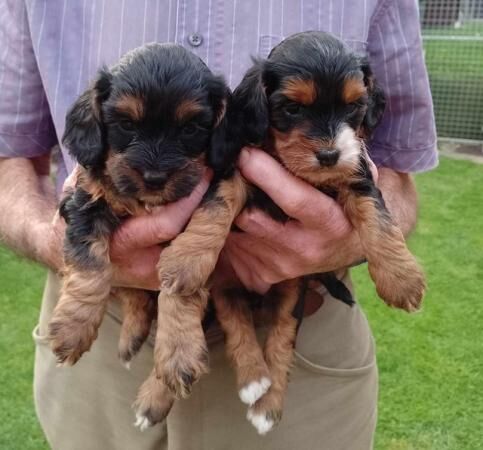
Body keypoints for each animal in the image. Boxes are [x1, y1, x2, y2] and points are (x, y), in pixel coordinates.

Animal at [46, 43, 233, 428]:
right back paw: (130, 339)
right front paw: (73, 327)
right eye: (126, 124)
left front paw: (178, 352)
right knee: (133, 295)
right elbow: (90, 265)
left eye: (190, 127)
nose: (154, 178)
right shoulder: (86, 202)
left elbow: (180, 287)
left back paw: (154, 397)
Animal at [202, 31, 426, 432]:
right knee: (236, 318)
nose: (329, 155)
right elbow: (219, 203)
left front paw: (402, 279)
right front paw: (186, 259)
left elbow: (378, 217)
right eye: (292, 108)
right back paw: (253, 382)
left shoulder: (355, 172)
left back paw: (267, 406)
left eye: (354, 106)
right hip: (226, 284)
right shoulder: (239, 166)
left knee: (281, 340)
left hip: (293, 291)